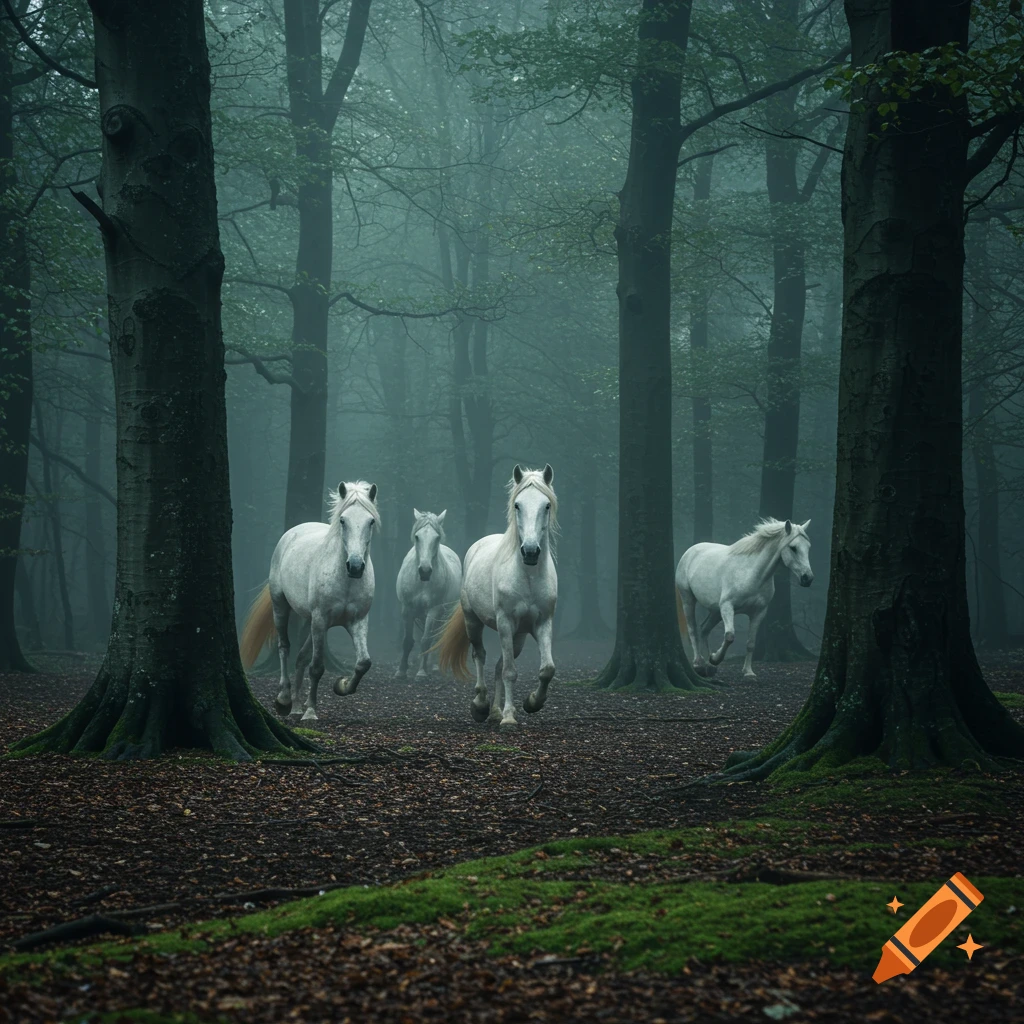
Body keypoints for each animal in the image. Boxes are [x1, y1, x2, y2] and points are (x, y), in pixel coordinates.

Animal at [239, 480, 379, 720]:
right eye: (343, 520)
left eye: (370, 521)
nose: (355, 566)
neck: (345, 581)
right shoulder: (321, 620)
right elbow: (317, 668)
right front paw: (311, 712)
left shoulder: (358, 621)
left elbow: (363, 663)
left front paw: (341, 686)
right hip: (282, 607)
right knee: (285, 647)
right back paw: (284, 700)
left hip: (311, 622)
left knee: (301, 657)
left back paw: (296, 706)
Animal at [395, 508, 463, 680]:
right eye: (417, 537)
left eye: (436, 538)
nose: (425, 571)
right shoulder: (407, 610)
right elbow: (407, 641)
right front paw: (401, 671)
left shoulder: (434, 610)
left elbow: (426, 640)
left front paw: (421, 672)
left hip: (442, 614)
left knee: (435, 637)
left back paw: (433, 667)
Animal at [434, 464, 558, 730]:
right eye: (517, 505)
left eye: (546, 505)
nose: (530, 551)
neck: (528, 576)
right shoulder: (505, 623)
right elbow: (510, 671)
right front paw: (510, 717)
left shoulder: (543, 623)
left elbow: (547, 669)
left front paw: (532, 703)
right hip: (474, 621)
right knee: (480, 655)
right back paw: (481, 706)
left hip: (518, 636)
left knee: (500, 664)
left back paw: (494, 712)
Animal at [675, 518, 813, 681]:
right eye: (793, 548)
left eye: (808, 547)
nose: (807, 578)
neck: (752, 574)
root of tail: (690, 551)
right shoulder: (727, 607)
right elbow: (729, 636)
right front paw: (716, 658)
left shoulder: (758, 612)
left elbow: (750, 643)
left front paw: (748, 672)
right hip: (688, 599)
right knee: (693, 630)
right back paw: (698, 663)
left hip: (715, 611)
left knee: (704, 629)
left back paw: (709, 666)